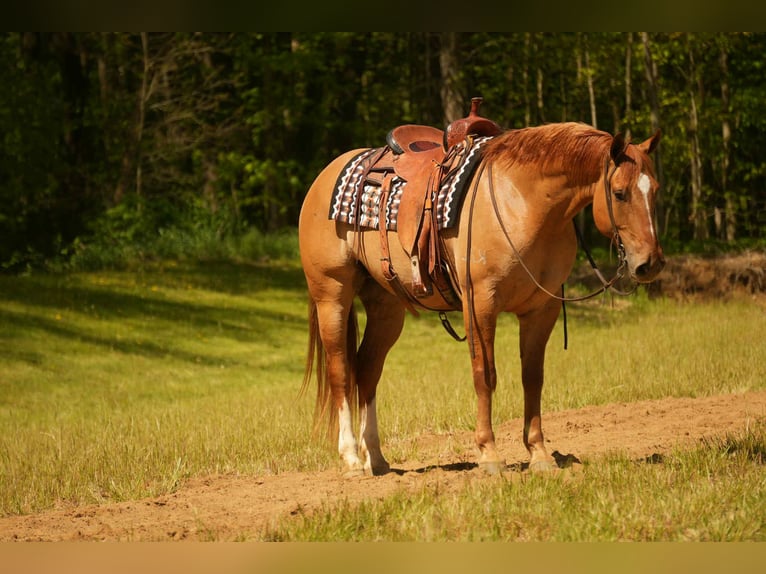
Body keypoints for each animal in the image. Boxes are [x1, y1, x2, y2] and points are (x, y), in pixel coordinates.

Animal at [298, 121, 664, 476]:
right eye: (619, 193)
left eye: (656, 190)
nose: (651, 264)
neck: (524, 201)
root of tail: (325, 176)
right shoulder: (481, 303)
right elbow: (485, 375)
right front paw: (489, 454)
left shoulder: (540, 309)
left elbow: (533, 378)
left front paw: (539, 454)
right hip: (332, 295)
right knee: (340, 371)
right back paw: (351, 459)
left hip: (386, 307)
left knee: (367, 369)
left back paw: (375, 458)